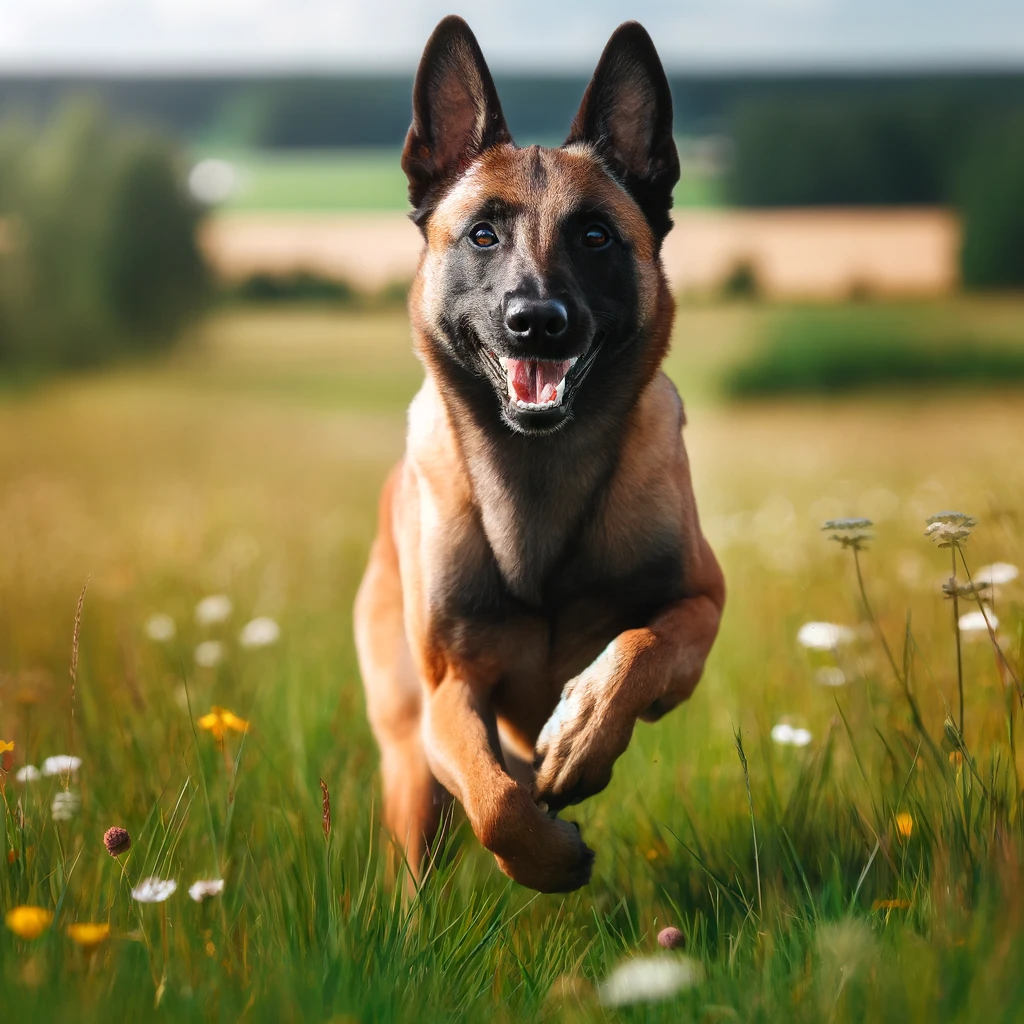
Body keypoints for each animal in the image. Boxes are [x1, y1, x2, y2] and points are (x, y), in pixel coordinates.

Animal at [356, 16, 724, 897]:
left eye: (594, 236)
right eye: (483, 233)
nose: (537, 321)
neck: (540, 482)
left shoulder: (701, 605)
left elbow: (638, 646)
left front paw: (584, 733)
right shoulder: (449, 692)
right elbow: (494, 800)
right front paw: (548, 854)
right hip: (406, 759)